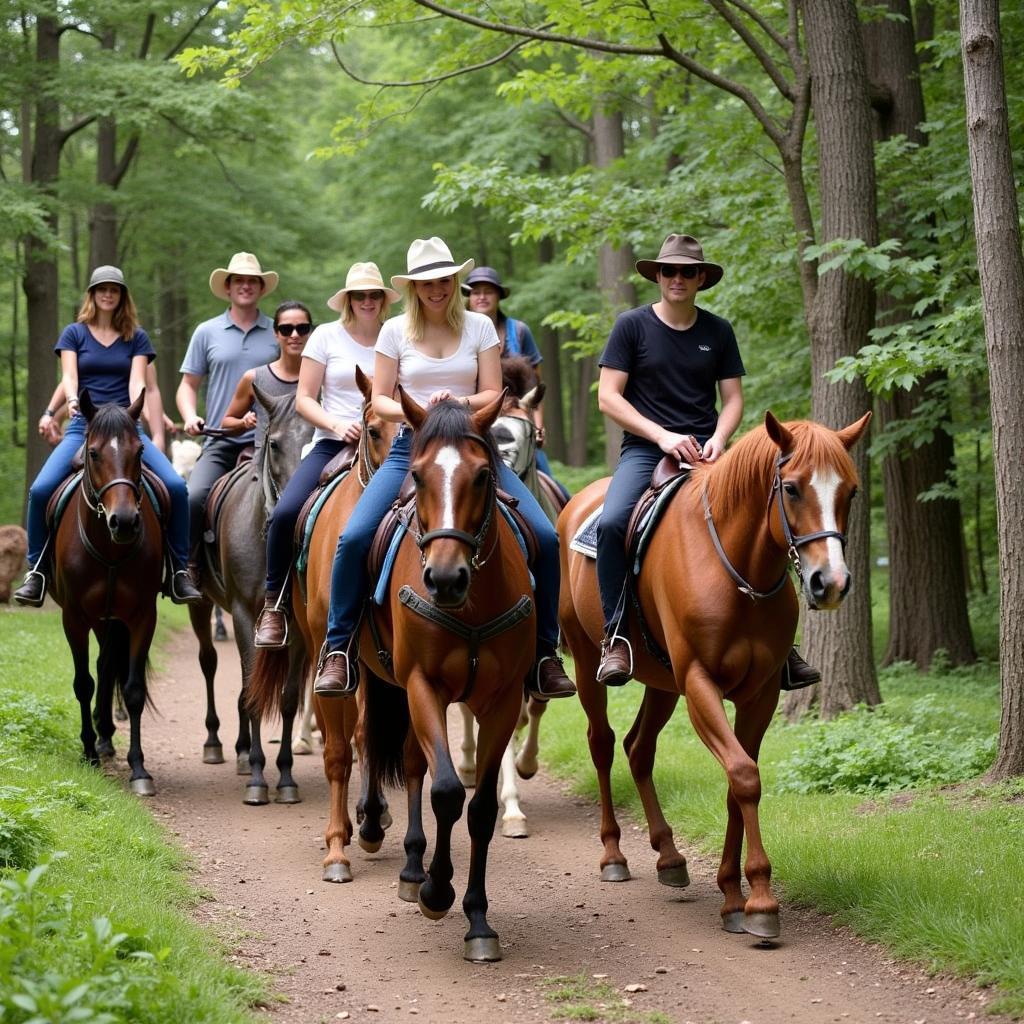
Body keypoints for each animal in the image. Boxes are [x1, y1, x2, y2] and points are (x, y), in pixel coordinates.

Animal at [51, 387, 162, 794]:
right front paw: (88, 753)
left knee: (109, 664)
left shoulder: (143, 616)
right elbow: (83, 682)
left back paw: (107, 735)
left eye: (140, 451)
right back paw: (99, 740)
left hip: (112, 619)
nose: (125, 521)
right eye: (95, 453)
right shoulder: (73, 618)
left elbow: (132, 689)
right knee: (100, 666)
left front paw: (139, 768)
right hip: (99, 619)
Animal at [186, 387, 309, 802]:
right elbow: (250, 693)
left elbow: (287, 699)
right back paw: (217, 745)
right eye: (274, 443)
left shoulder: (296, 628)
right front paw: (257, 778)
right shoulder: (241, 613)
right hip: (201, 605)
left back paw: (242, 752)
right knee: (209, 664)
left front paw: (286, 777)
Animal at [247, 368, 395, 880]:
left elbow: (366, 737)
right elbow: (335, 751)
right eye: (374, 430)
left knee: (364, 733)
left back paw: (372, 818)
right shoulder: (331, 659)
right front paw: (336, 850)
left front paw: (370, 822)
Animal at [557, 411, 868, 937]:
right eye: (791, 488)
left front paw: (734, 894)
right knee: (602, 744)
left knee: (638, 749)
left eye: (850, 491)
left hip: (662, 683)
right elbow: (743, 776)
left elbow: (737, 783)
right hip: (585, 662)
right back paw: (614, 855)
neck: (738, 570)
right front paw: (758, 901)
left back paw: (669, 856)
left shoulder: (759, 695)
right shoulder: (701, 684)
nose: (832, 583)